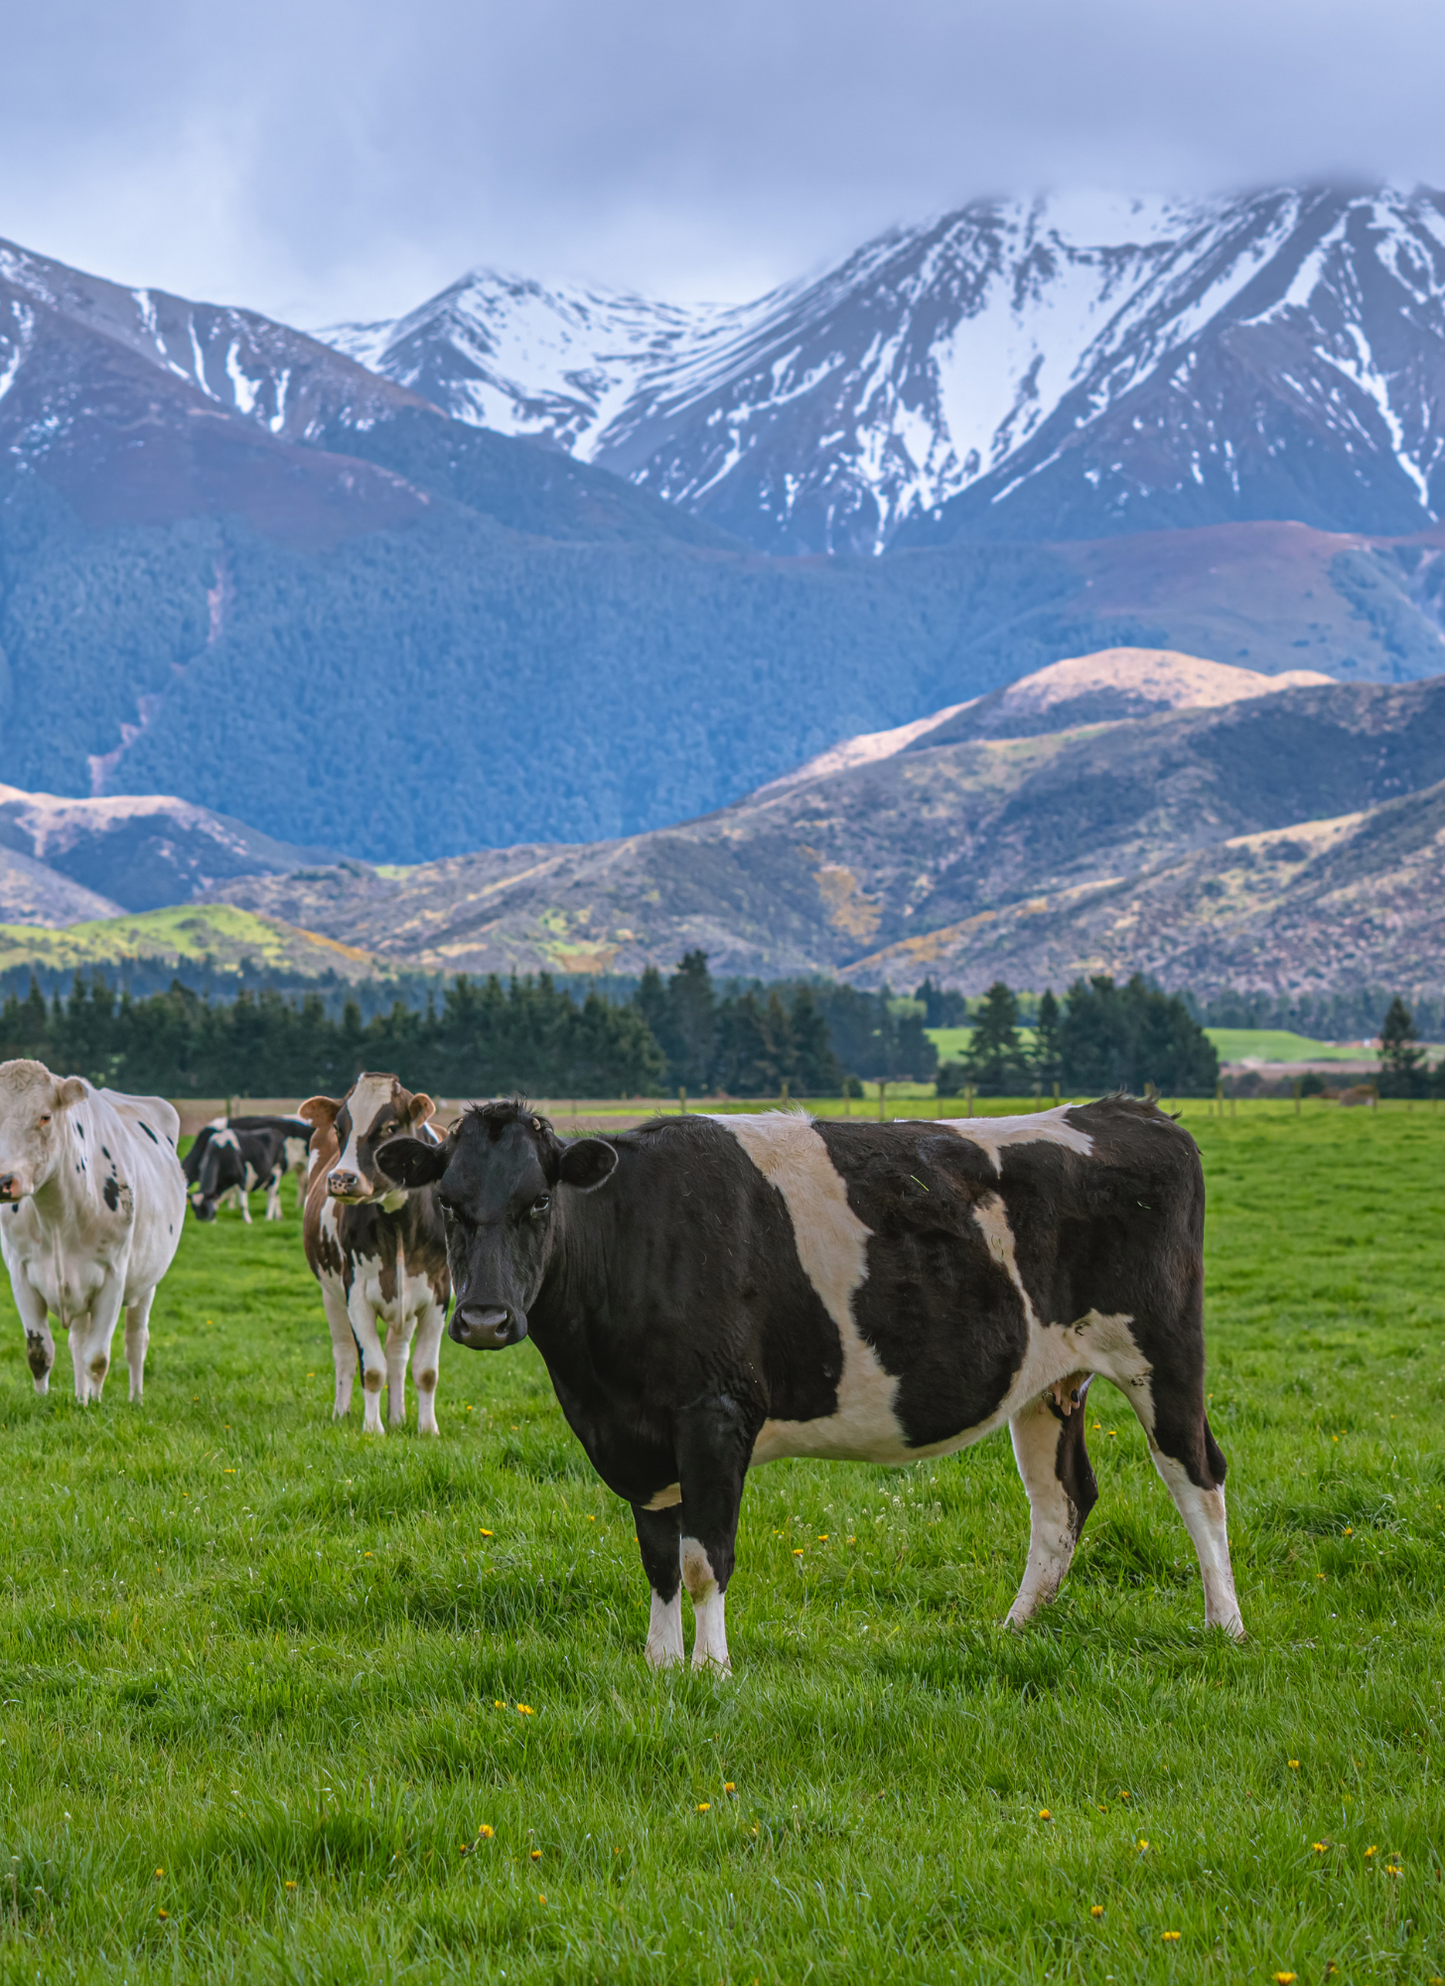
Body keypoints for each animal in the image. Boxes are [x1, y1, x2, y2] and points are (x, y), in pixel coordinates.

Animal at [0, 1058, 187, 1404]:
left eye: (45, 1116)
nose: (4, 1180)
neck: (57, 1216)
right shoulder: (20, 1273)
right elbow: (39, 1353)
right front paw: (44, 1402)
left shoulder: (113, 1275)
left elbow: (98, 1357)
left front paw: (96, 1407)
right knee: (78, 1341)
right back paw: (81, 1397)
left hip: (146, 1283)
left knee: (135, 1341)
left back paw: (131, 1399)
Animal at [299, 1073, 449, 1435]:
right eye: (339, 1128)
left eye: (391, 1128)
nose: (341, 1179)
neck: (401, 1223)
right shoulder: (356, 1293)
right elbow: (372, 1369)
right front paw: (372, 1428)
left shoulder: (437, 1293)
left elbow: (425, 1371)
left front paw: (427, 1429)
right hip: (331, 1294)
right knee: (344, 1353)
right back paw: (342, 1413)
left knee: (397, 1355)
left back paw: (398, 1417)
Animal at [378, 1096, 1243, 1671]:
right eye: (448, 1204)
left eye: (537, 1203)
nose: (483, 1318)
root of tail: (1129, 1110)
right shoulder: (632, 1435)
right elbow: (658, 1558)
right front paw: (660, 1667)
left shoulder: (714, 1413)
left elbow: (704, 1558)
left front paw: (711, 1672)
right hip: (1045, 1381)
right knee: (1060, 1500)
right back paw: (1016, 1630)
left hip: (1160, 1354)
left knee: (1195, 1477)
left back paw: (1223, 1627)